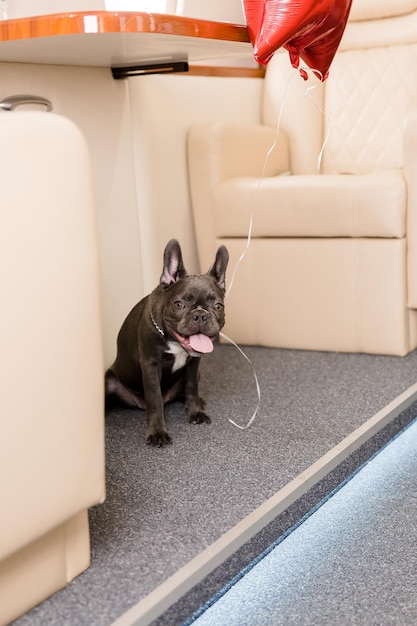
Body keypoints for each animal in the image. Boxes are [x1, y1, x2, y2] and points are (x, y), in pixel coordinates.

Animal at [104, 236, 228, 446]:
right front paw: (157, 432)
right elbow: (155, 400)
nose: (200, 315)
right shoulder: (150, 365)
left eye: (218, 306)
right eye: (179, 304)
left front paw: (195, 411)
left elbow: (191, 387)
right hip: (109, 381)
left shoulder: (194, 364)